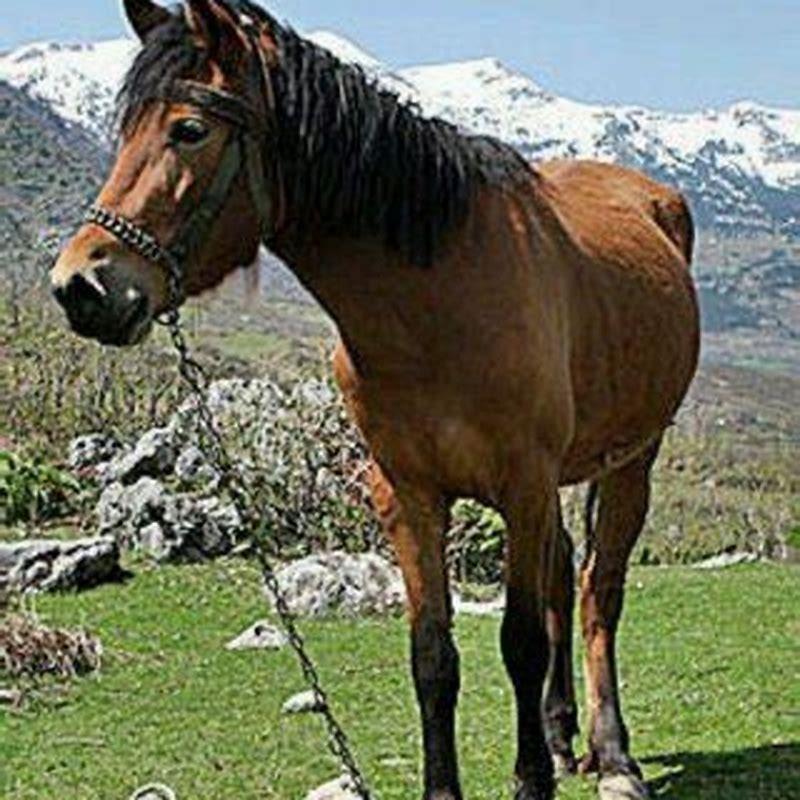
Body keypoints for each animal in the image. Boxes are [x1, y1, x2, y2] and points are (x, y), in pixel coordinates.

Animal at [50, 2, 701, 798]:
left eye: (188, 130)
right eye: (125, 131)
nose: (81, 286)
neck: (437, 302)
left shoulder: (523, 484)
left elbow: (518, 642)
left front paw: (532, 780)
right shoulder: (410, 496)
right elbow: (433, 656)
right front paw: (456, 783)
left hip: (632, 459)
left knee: (596, 593)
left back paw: (613, 755)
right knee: (562, 576)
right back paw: (560, 730)